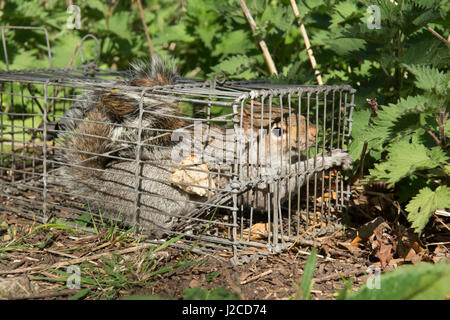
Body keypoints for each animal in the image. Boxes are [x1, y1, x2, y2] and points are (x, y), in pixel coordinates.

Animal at [54, 56, 354, 238]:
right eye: (278, 131)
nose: (315, 133)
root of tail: (99, 189)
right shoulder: (254, 177)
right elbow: (281, 186)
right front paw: (328, 157)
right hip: (158, 201)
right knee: (146, 228)